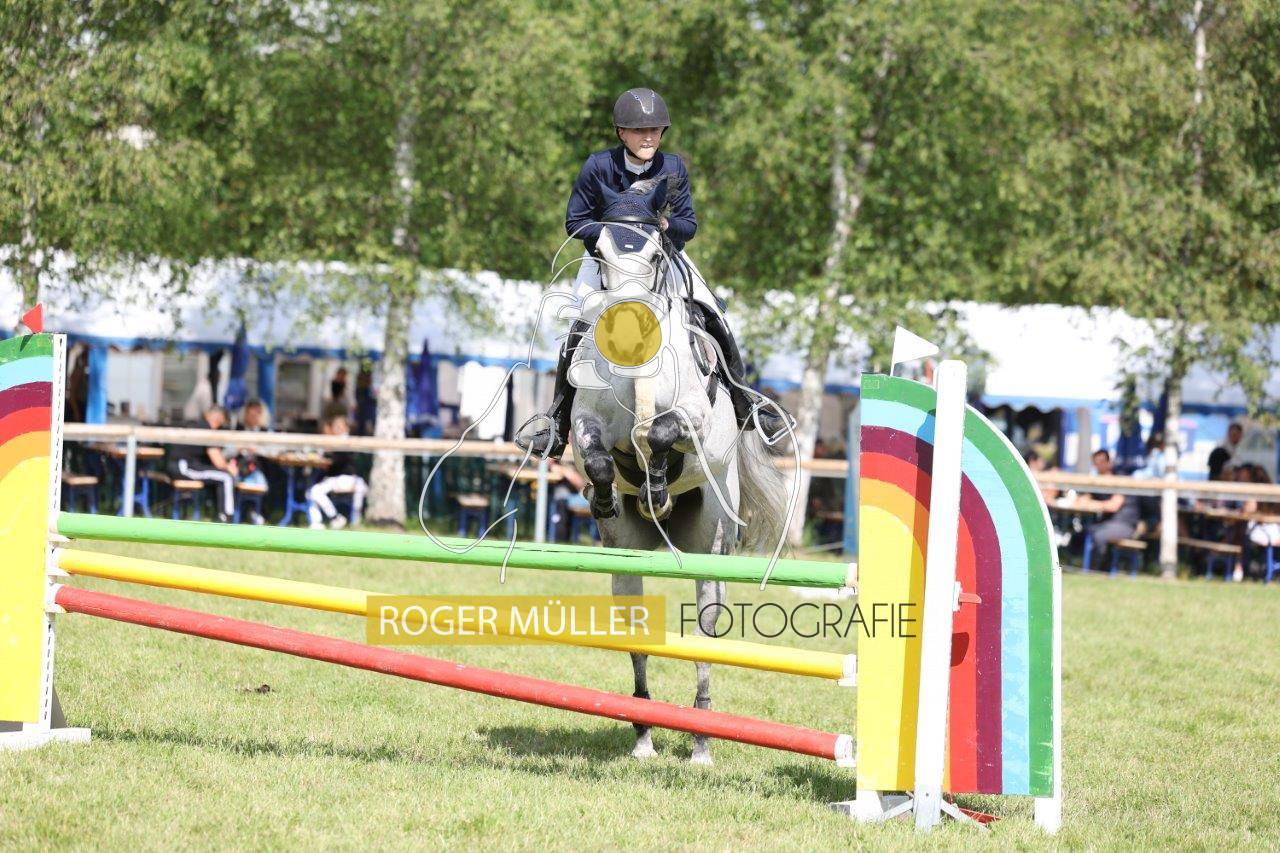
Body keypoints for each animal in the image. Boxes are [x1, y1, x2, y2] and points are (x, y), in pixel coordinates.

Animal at [565, 178, 792, 764]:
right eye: (598, 252)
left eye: (653, 255)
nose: (625, 335)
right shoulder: (584, 424)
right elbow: (598, 454)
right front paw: (608, 495)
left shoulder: (693, 416)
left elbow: (661, 433)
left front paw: (658, 485)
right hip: (625, 560)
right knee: (636, 634)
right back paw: (644, 733)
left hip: (711, 544)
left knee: (705, 634)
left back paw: (701, 741)